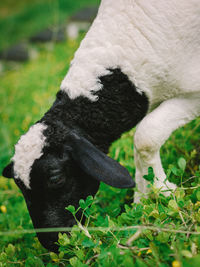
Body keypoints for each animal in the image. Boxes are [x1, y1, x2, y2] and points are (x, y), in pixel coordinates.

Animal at [2, 0, 200, 251]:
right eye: (19, 186)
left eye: (56, 178)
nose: (52, 242)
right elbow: (140, 151)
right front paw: (142, 203)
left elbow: (145, 136)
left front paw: (165, 191)